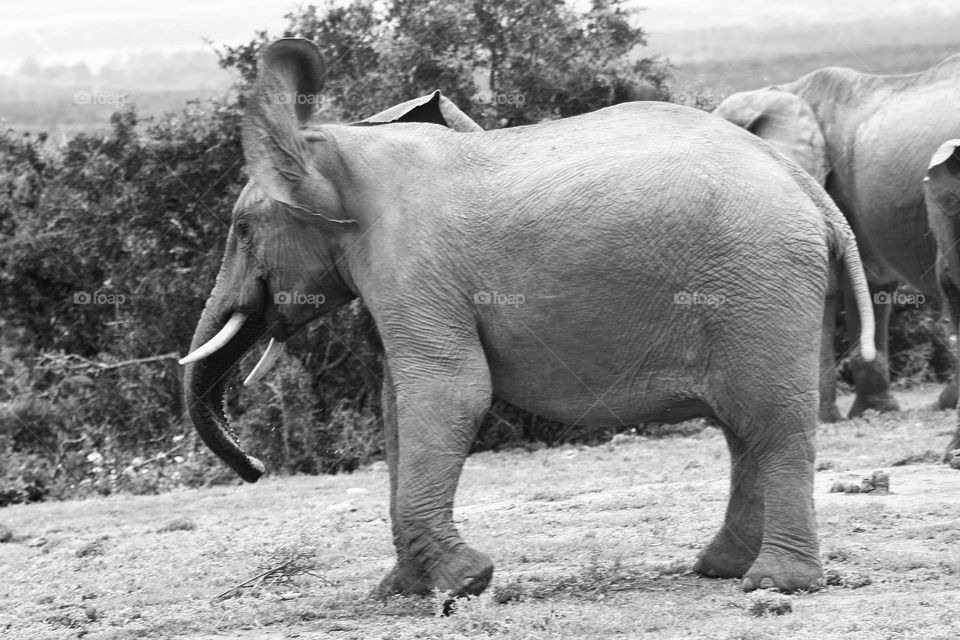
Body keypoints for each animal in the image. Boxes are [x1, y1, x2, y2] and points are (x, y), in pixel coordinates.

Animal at [180, 38, 877, 598]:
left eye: (243, 229)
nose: (257, 468)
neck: (343, 146)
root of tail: (810, 190)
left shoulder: (416, 265)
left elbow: (448, 392)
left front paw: (467, 582)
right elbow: (399, 405)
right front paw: (402, 591)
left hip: (759, 278)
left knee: (770, 420)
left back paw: (774, 583)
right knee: (743, 426)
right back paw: (720, 568)